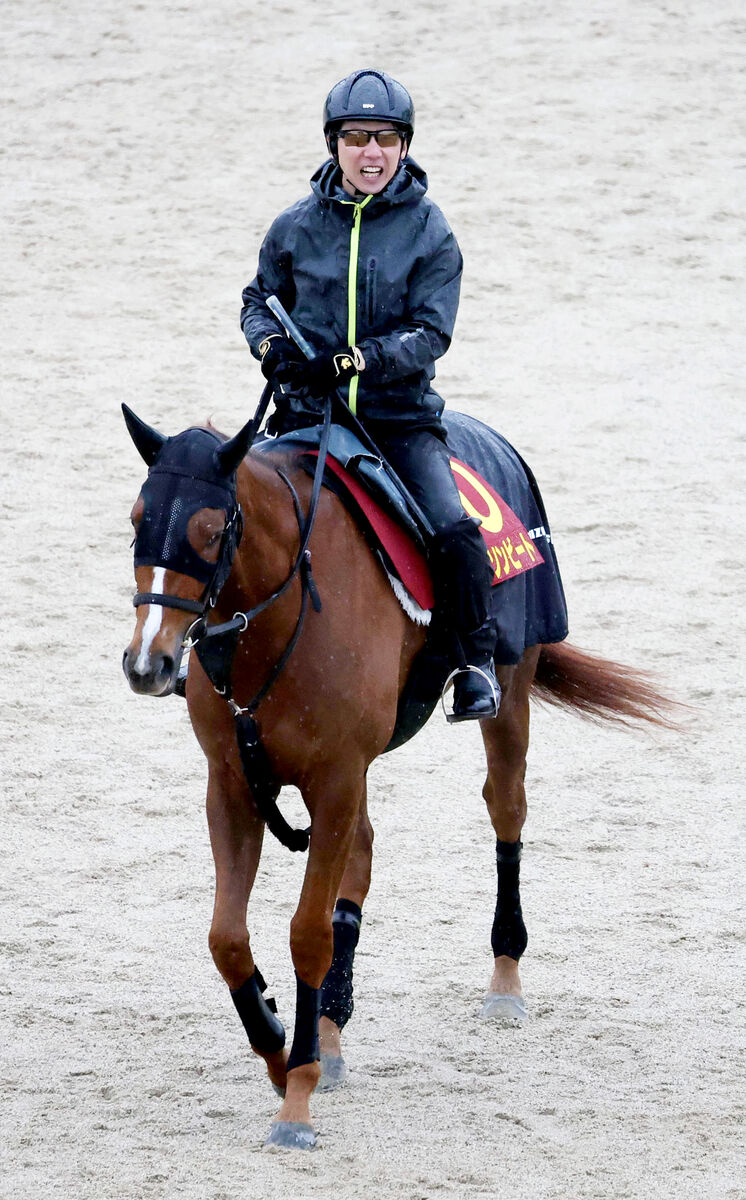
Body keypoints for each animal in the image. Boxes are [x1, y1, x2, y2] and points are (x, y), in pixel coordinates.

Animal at [121, 405, 671, 1152]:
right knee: (362, 858)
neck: (283, 614)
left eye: (211, 532)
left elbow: (307, 932)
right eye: (136, 520)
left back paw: (504, 980)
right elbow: (228, 938)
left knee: (506, 810)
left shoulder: (334, 779)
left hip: (510, 685)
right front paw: (277, 1041)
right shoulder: (233, 784)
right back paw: (328, 1028)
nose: (146, 663)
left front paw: (297, 1098)